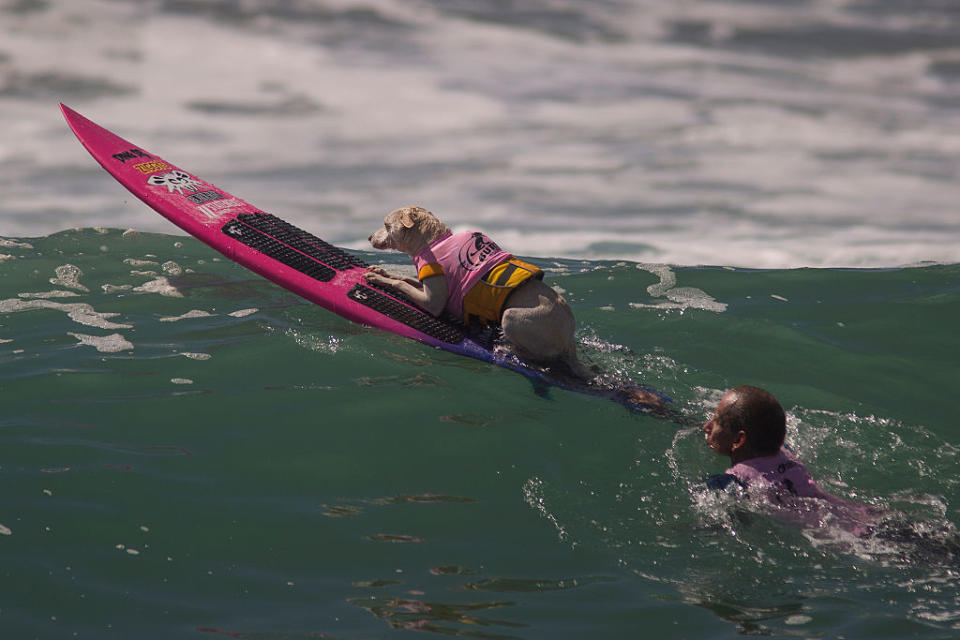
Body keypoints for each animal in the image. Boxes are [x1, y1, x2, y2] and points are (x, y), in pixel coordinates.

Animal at [366, 206, 592, 380]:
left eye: (386, 224)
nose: (368, 237)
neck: (432, 242)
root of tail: (569, 337)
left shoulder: (433, 302)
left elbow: (402, 284)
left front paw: (378, 278)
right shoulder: (427, 286)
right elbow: (403, 278)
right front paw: (381, 271)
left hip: (512, 316)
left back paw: (505, 347)